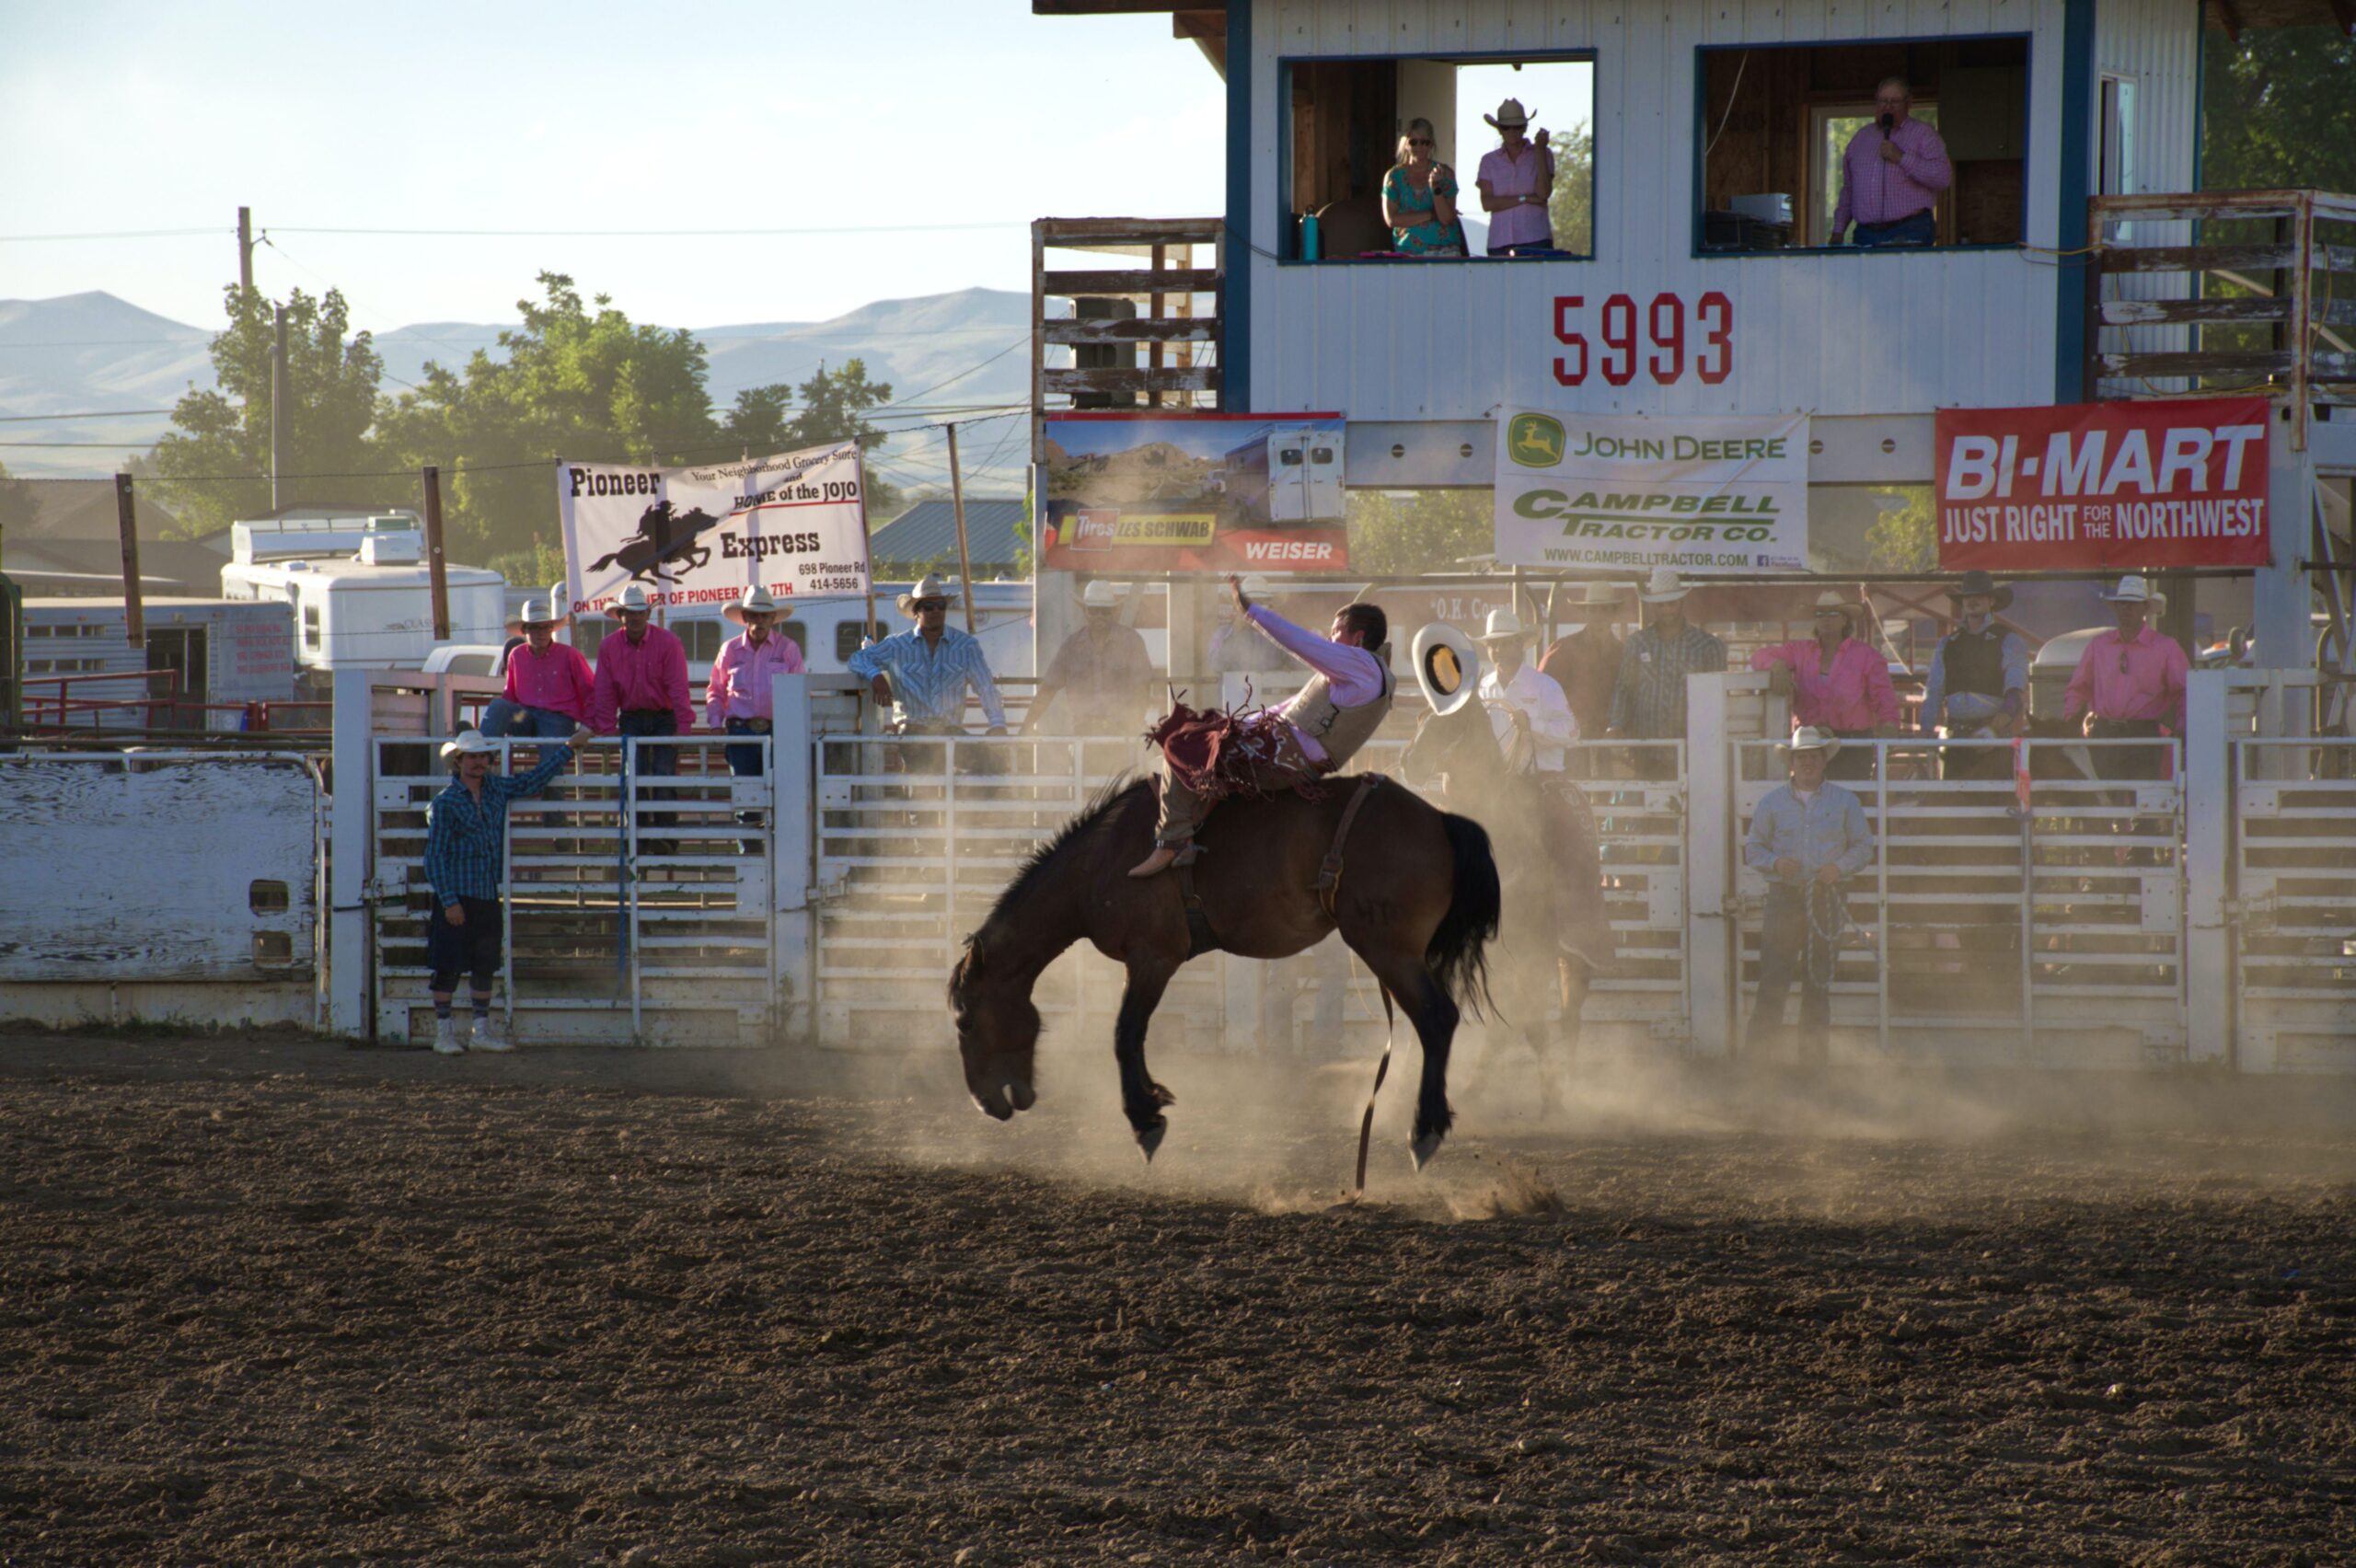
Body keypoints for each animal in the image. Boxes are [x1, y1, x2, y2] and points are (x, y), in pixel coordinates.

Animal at [947, 777, 1498, 1168]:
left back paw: (1424, 1131)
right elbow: (1132, 1034)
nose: (984, 1105)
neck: (1101, 863)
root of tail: (1439, 819)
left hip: (1387, 949)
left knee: (1436, 1019)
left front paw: (1145, 1121)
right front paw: (1155, 1100)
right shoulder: (1146, 963)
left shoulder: (1152, 958)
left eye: (966, 1021)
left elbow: (1125, 1033)